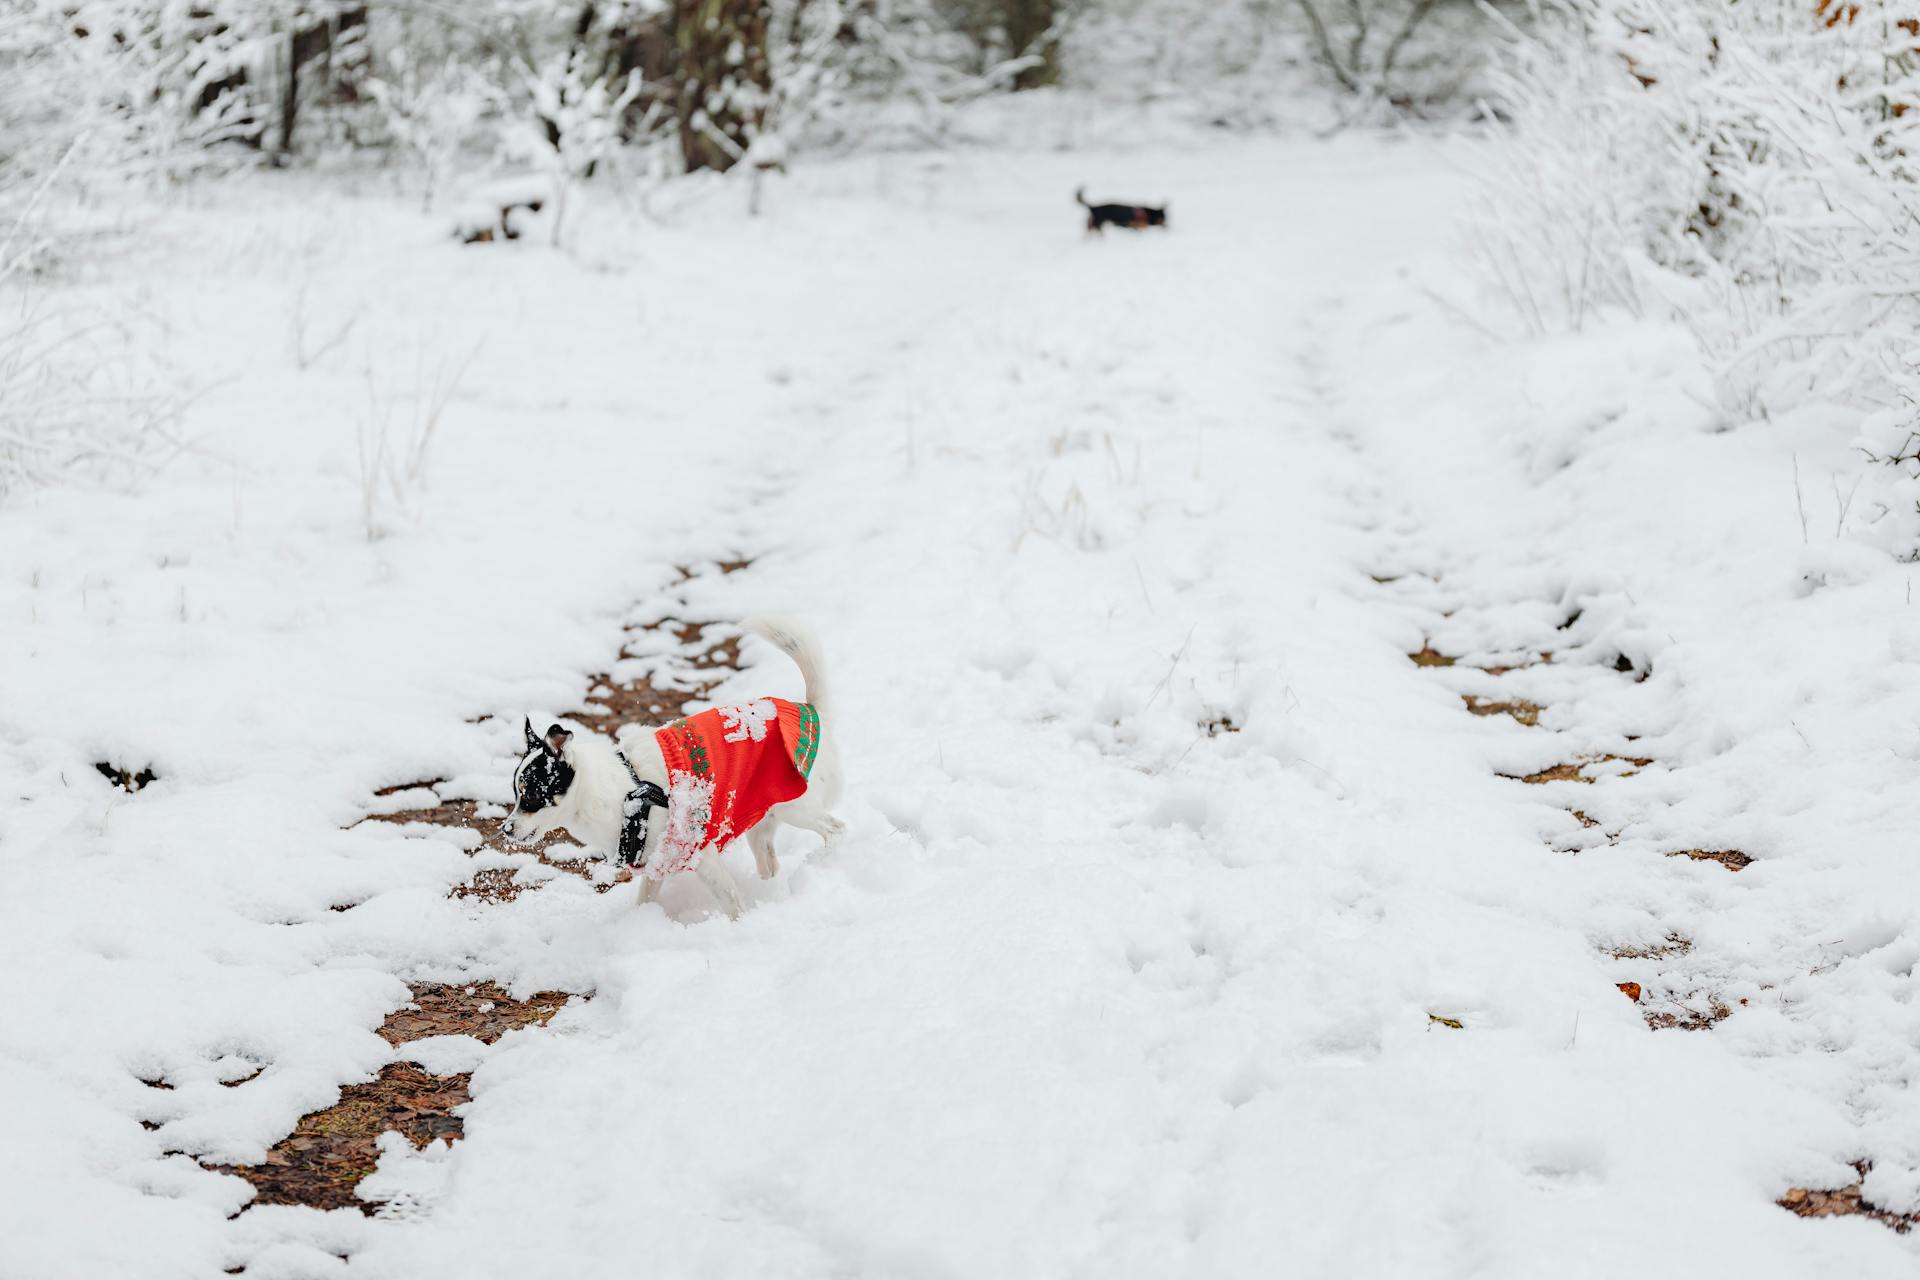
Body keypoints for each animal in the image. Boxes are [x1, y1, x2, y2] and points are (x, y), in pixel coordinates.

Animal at [503, 614, 848, 917]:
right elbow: (644, 899)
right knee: (771, 864)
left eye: (531, 796)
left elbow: (732, 903)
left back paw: (827, 861)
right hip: (761, 822)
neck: (623, 795)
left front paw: (738, 926)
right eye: (516, 797)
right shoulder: (658, 861)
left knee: (836, 829)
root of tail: (810, 711)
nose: (505, 829)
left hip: (796, 805)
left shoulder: (701, 855)